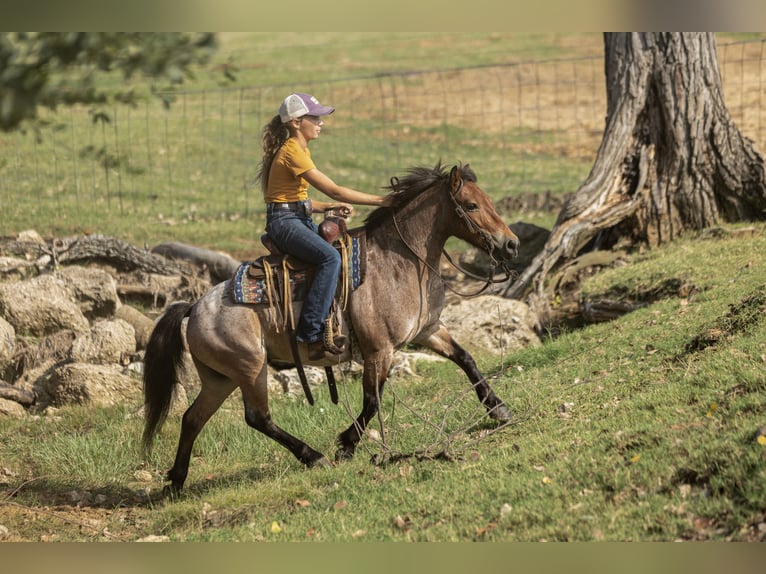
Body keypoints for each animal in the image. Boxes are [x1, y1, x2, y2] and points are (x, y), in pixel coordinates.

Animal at [142, 162, 520, 492]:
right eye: (471, 205)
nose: (511, 243)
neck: (400, 262)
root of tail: (194, 308)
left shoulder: (427, 331)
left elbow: (466, 358)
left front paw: (498, 408)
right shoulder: (379, 350)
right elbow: (372, 401)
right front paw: (346, 445)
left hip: (220, 379)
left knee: (192, 418)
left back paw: (176, 481)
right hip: (250, 370)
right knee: (257, 417)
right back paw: (313, 456)